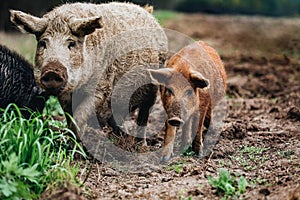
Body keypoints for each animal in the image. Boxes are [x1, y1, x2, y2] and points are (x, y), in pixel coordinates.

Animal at [10, 1, 168, 139]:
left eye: (71, 44)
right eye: (43, 43)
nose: (52, 71)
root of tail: (147, 11)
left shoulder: (101, 89)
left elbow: (79, 117)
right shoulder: (65, 95)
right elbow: (70, 117)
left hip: (154, 84)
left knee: (144, 114)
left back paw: (140, 144)